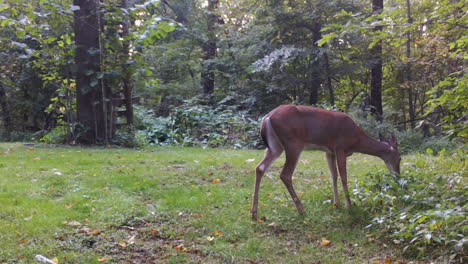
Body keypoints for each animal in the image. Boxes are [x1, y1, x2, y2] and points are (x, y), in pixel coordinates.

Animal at [250, 104, 400, 220]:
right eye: (399, 158)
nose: (398, 176)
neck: (356, 140)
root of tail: (267, 118)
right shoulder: (340, 148)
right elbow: (344, 176)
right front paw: (349, 205)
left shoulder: (329, 152)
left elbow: (334, 175)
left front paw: (337, 204)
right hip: (293, 143)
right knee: (285, 174)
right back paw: (302, 210)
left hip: (275, 146)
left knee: (260, 167)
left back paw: (254, 213)